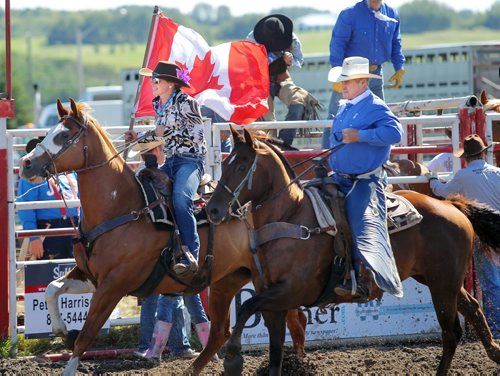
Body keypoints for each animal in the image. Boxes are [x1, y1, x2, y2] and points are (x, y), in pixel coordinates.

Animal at [17, 99, 306, 376]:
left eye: (63, 135)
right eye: (49, 132)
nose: (26, 164)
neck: (121, 206)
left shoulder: (113, 286)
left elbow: (86, 336)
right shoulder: (91, 276)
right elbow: (52, 289)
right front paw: (60, 328)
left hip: (266, 281)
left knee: (289, 322)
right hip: (228, 280)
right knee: (223, 331)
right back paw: (194, 370)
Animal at [204, 126, 500, 376]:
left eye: (242, 165)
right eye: (226, 163)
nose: (213, 210)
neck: (291, 218)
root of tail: (451, 205)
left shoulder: (291, 292)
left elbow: (246, 307)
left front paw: (232, 359)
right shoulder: (273, 300)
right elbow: (273, 349)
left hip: (442, 283)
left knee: (451, 332)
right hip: (439, 280)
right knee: (472, 309)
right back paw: (494, 352)